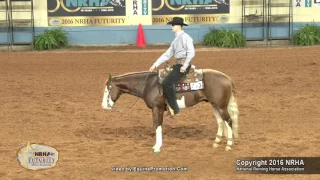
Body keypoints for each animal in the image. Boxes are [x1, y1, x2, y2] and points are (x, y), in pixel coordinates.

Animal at [101, 66, 239, 155]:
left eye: (108, 89)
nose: (103, 106)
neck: (149, 84)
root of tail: (228, 78)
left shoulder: (158, 109)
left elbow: (158, 126)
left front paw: (157, 148)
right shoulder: (155, 110)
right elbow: (156, 126)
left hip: (221, 106)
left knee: (229, 121)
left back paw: (228, 145)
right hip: (215, 105)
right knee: (221, 122)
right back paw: (216, 142)